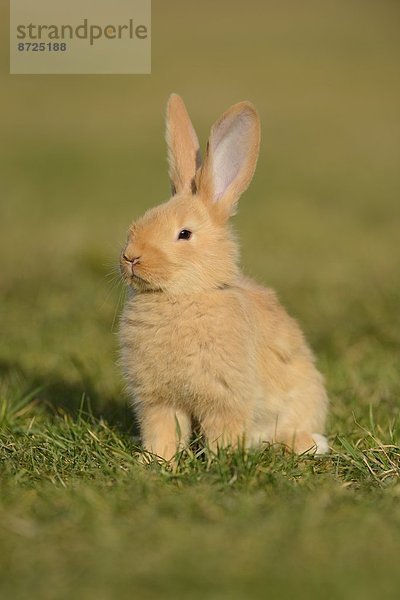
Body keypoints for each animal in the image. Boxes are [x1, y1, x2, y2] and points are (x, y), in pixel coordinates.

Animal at [118, 92, 328, 460]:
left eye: (184, 234)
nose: (131, 257)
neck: (183, 295)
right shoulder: (159, 402)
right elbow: (164, 434)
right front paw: (158, 462)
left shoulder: (225, 399)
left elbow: (222, 433)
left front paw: (221, 461)